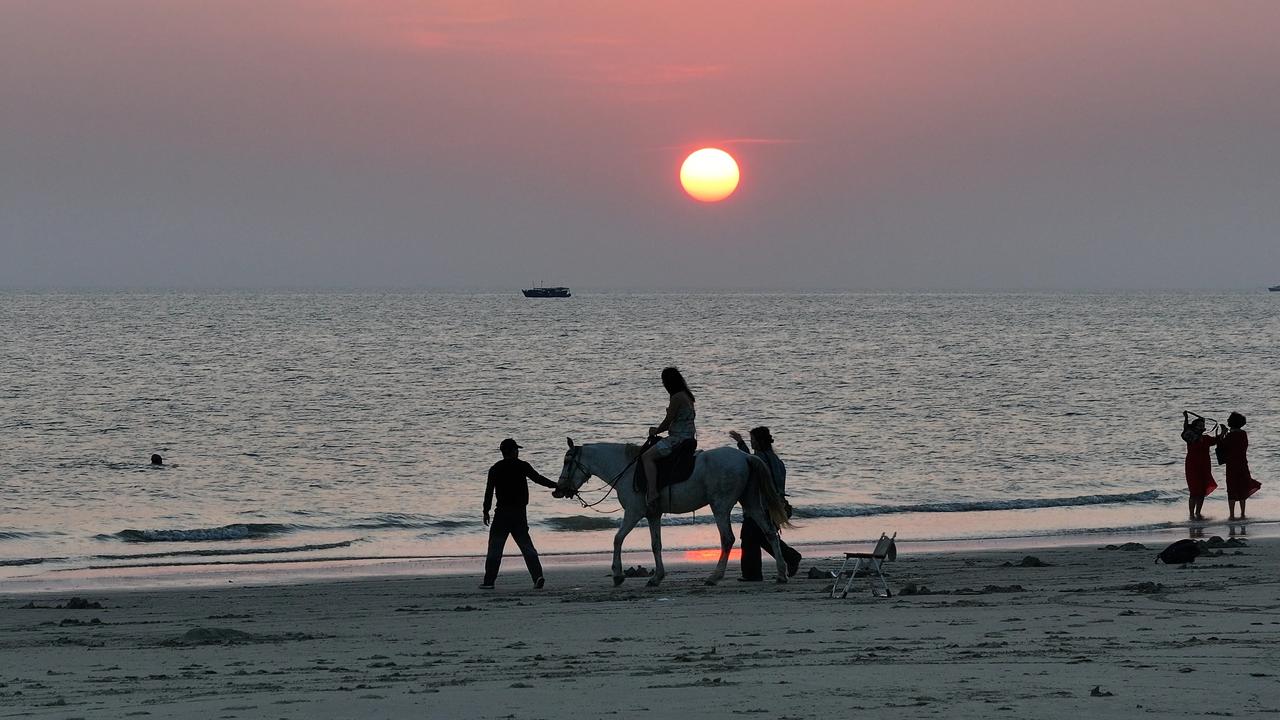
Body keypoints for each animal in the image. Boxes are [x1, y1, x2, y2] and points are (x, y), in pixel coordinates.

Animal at [558, 438, 793, 584]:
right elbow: (656, 544)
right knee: (769, 532)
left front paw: (617, 574)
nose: (558, 490)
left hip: (720, 505)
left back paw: (714, 577)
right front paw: (656, 577)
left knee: (727, 538)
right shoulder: (652, 515)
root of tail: (745, 457)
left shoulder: (633, 513)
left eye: (567, 461)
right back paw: (782, 574)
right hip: (750, 502)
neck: (626, 469)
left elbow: (617, 539)